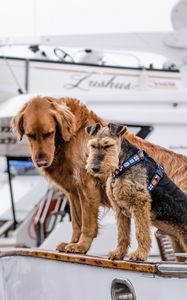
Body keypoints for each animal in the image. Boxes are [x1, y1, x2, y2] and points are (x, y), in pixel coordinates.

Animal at [86, 123, 187, 262]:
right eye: (92, 146)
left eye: (108, 145)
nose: (94, 168)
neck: (123, 164)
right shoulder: (119, 209)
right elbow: (122, 234)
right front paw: (118, 253)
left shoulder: (139, 203)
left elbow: (141, 232)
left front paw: (139, 254)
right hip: (178, 245)